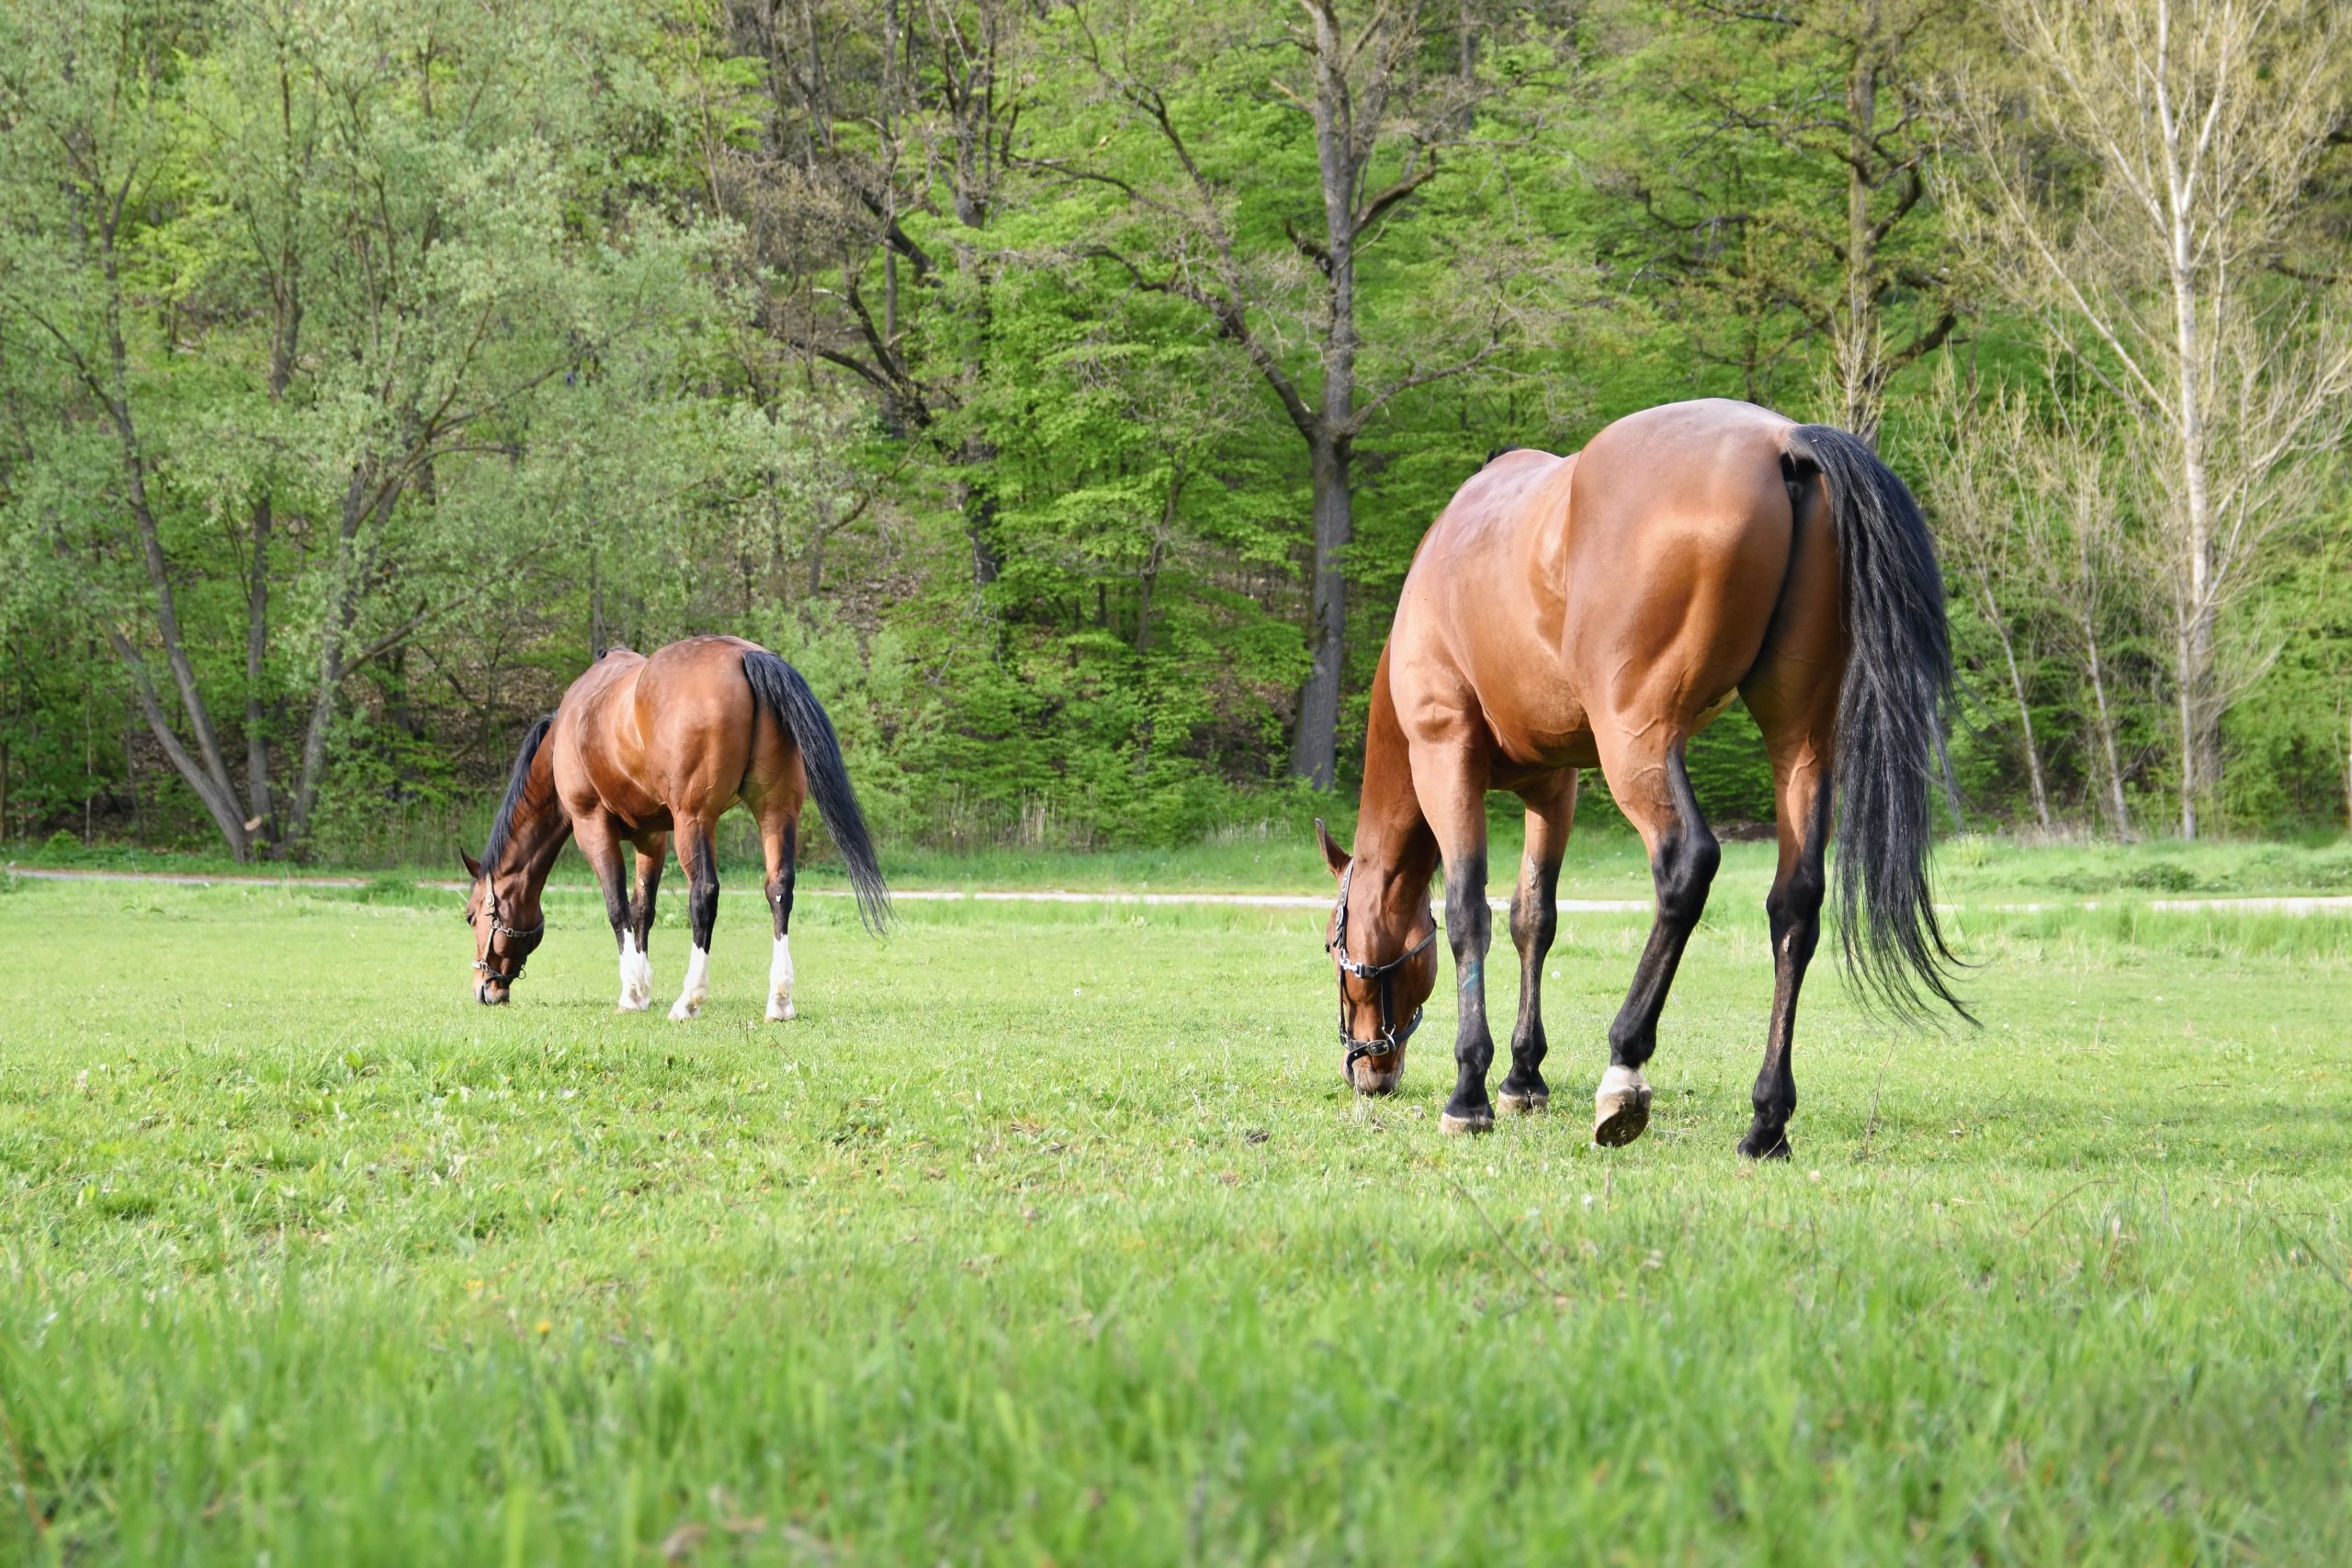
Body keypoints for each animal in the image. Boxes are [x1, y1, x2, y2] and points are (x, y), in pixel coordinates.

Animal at [460, 635, 890, 1020]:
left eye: (470, 916)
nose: (485, 989)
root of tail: (745, 655)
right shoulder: (651, 838)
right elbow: (642, 910)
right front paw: (642, 988)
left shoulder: (592, 827)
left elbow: (617, 908)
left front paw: (631, 992)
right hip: (776, 810)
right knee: (779, 889)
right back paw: (780, 1002)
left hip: (694, 819)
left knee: (704, 893)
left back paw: (689, 1001)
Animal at [1316, 398, 1962, 1158]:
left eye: (1334, 947)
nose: (1366, 1069)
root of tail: (1785, 443)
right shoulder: (1554, 785)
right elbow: (1534, 918)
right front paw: (1523, 1077)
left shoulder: (1447, 756)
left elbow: (1470, 912)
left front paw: (1471, 1087)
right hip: (1799, 739)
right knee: (1796, 902)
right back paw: (1766, 1119)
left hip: (1639, 741)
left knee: (1687, 865)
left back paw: (1625, 1067)